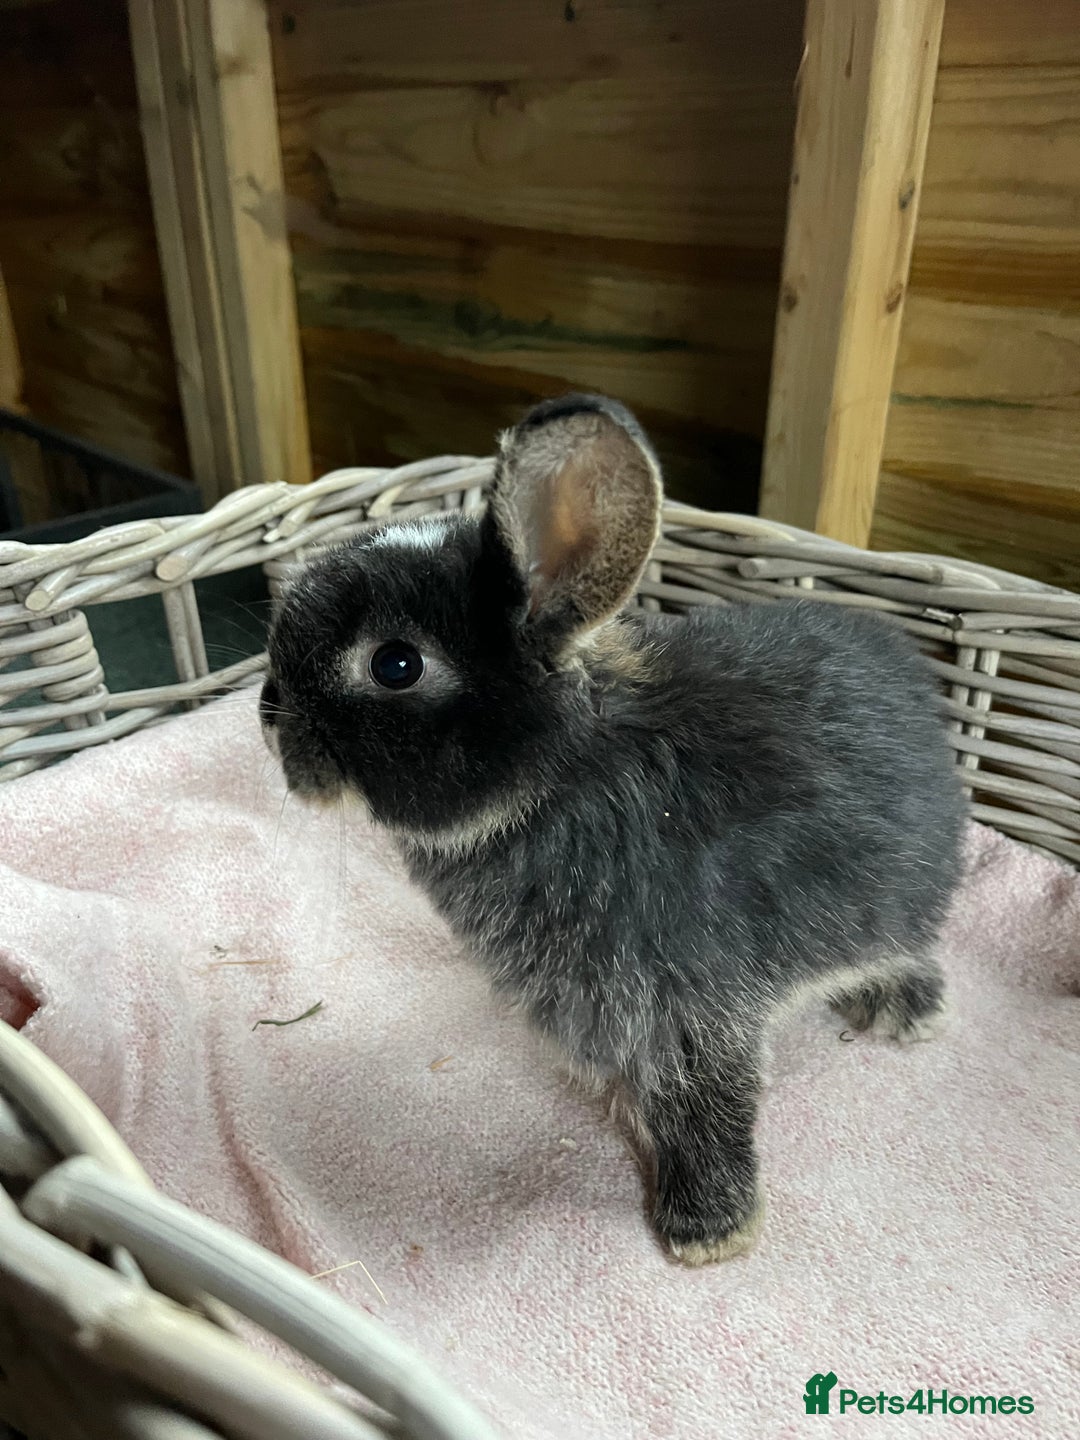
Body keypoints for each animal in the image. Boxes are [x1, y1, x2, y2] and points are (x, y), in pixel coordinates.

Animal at [261, 394, 967, 1265]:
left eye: (396, 665)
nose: (267, 715)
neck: (557, 778)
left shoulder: (689, 1009)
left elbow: (706, 1106)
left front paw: (708, 1234)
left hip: (893, 917)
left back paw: (907, 1013)